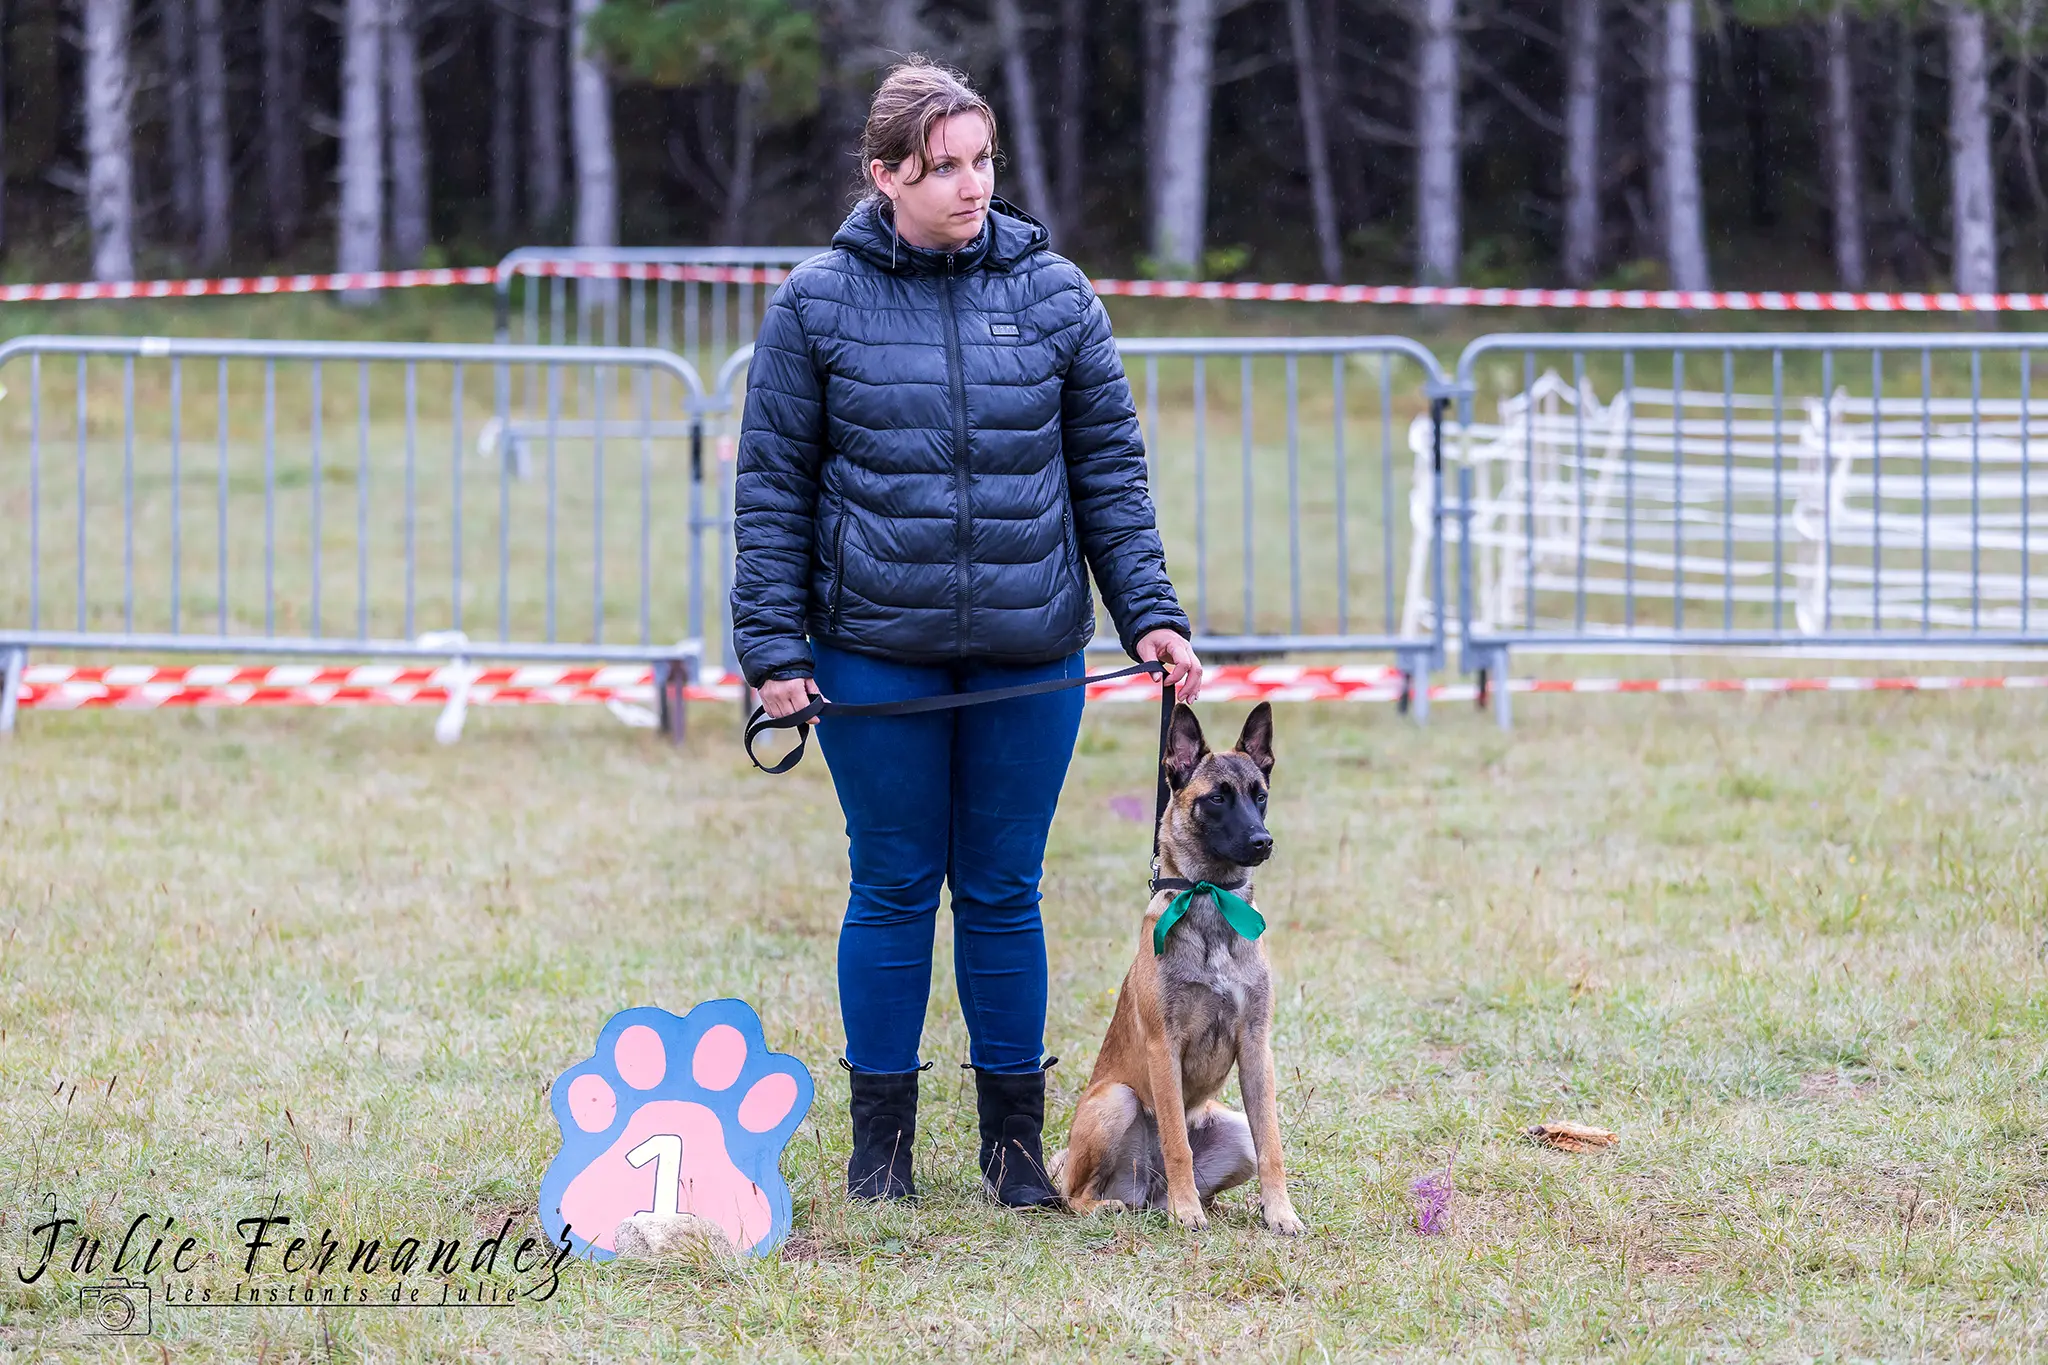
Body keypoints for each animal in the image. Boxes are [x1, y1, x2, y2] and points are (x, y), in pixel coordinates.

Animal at [1048, 703, 1302, 1236]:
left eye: (1260, 796)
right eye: (1216, 799)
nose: (1263, 841)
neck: (1211, 898)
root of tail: (1146, 1190)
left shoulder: (1256, 1046)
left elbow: (1272, 1145)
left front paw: (1280, 1212)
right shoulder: (1164, 1047)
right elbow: (1176, 1143)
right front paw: (1188, 1213)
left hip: (1233, 1129)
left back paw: (1204, 1206)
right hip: (1117, 1100)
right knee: (1074, 1195)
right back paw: (1127, 1206)